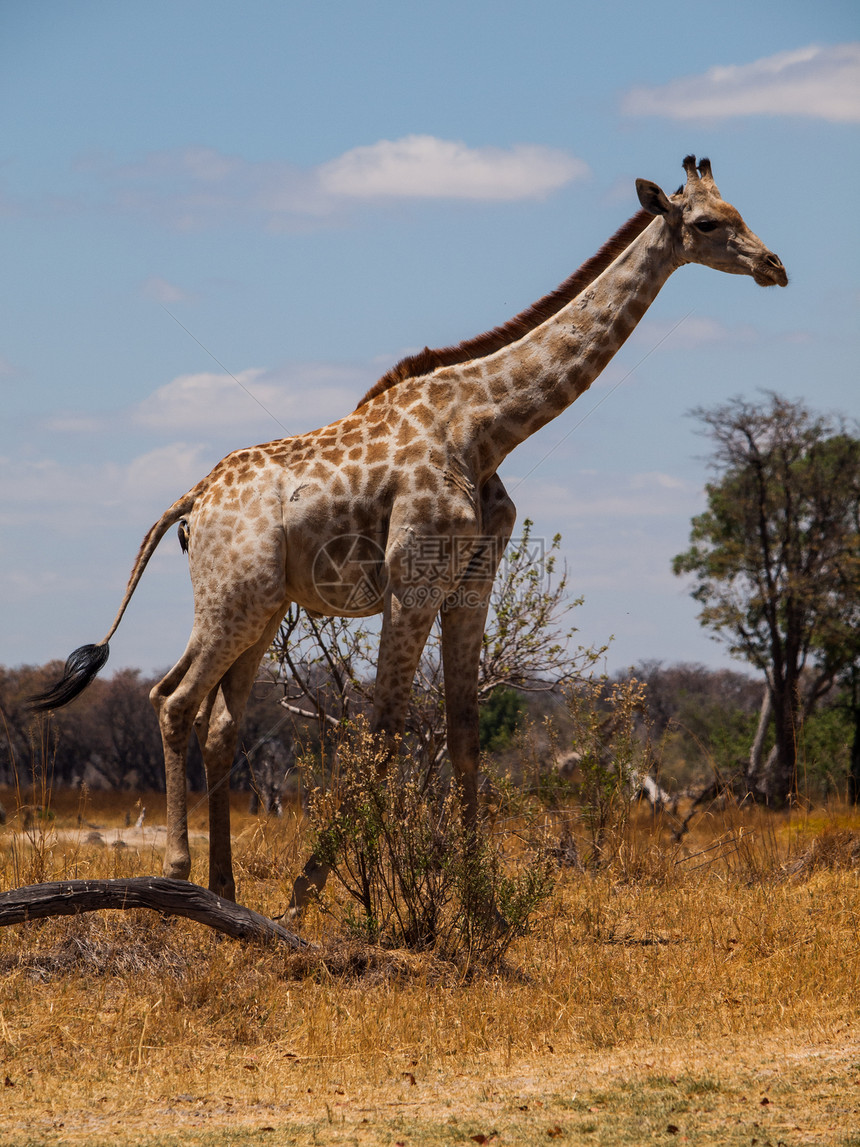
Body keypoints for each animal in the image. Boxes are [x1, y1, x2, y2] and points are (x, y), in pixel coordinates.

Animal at [31, 154, 788, 903]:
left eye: (740, 211)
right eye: (707, 222)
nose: (774, 265)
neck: (488, 427)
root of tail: (190, 500)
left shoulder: (471, 583)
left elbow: (464, 731)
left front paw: (480, 899)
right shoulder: (413, 580)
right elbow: (389, 726)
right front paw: (312, 886)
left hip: (262, 608)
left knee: (219, 722)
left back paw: (225, 887)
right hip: (230, 598)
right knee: (173, 699)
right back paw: (178, 874)